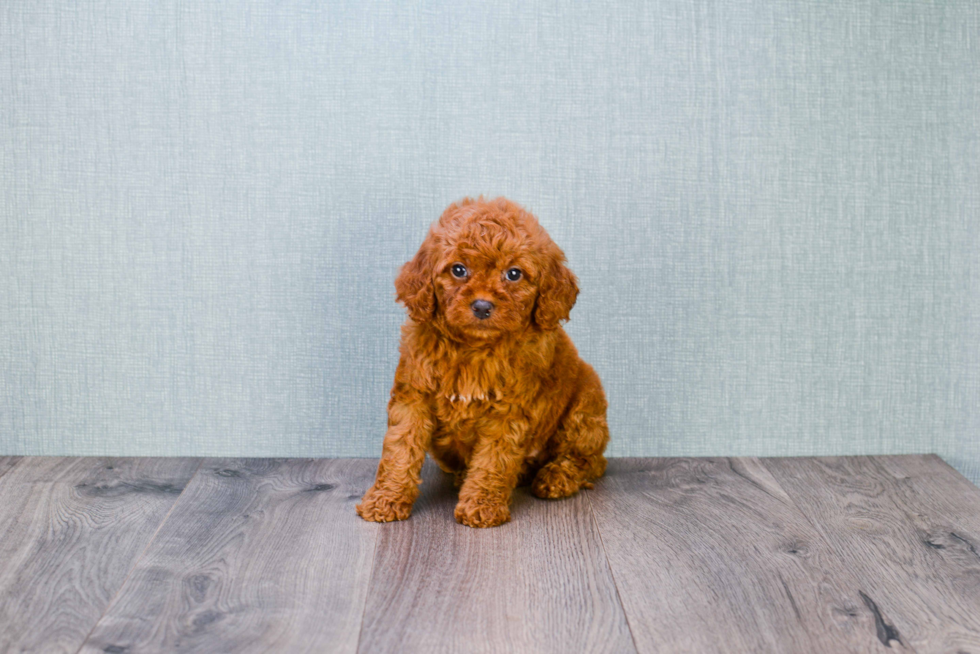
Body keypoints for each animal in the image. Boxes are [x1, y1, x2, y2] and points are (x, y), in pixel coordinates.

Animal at [356, 197, 608, 532]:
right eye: (458, 270)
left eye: (514, 274)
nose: (482, 306)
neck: (473, 349)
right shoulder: (413, 398)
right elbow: (399, 451)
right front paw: (385, 499)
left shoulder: (508, 412)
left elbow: (493, 461)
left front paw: (481, 506)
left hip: (585, 405)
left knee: (589, 460)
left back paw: (556, 477)